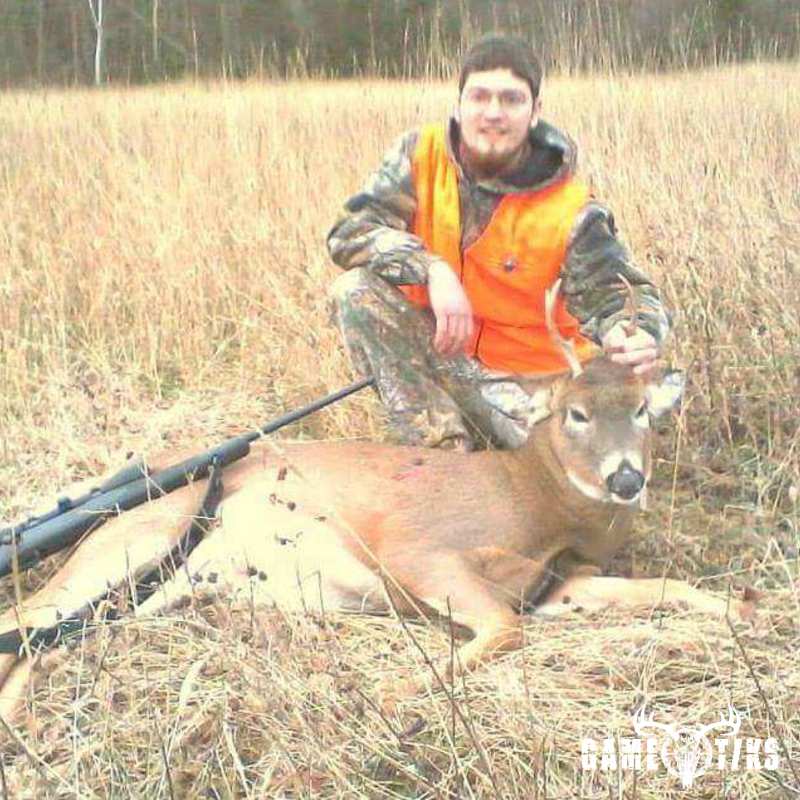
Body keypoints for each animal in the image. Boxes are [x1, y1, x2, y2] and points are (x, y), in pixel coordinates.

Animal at [0, 282, 754, 719]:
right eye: (574, 413)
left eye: (641, 410)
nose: (626, 479)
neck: (535, 503)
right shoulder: (417, 550)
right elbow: (502, 628)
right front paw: (400, 690)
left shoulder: (560, 583)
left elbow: (662, 587)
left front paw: (742, 609)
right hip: (132, 540)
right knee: (26, 621)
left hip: (164, 587)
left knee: (54, 646)